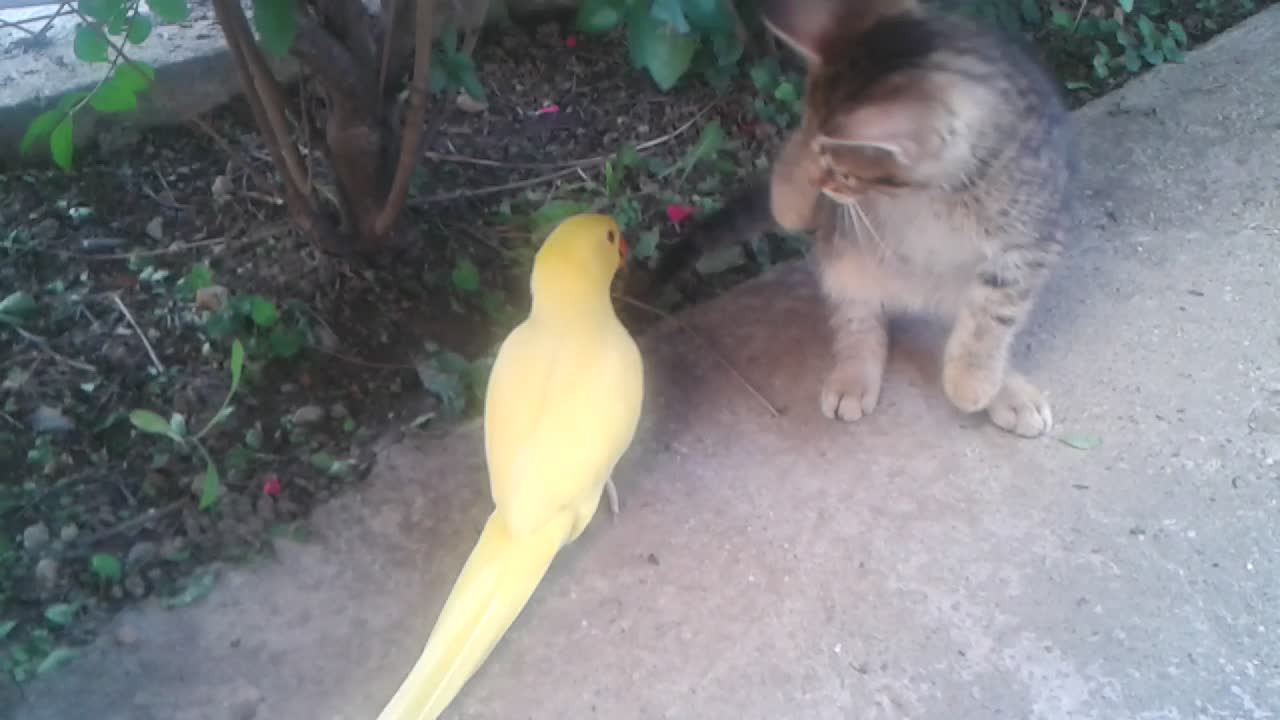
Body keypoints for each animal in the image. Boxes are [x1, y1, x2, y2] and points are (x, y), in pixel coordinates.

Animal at [660, 0, 1070, 435]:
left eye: (844, 172)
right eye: (831, 167)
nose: (824, 183)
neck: (934, 195)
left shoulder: (1031, 241)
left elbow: (993, 315)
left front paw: (972, 379)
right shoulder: (813, 209)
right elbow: (787, 199)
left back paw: (1009, 389)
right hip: (843, 264)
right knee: (858, 318)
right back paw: (853, 378)